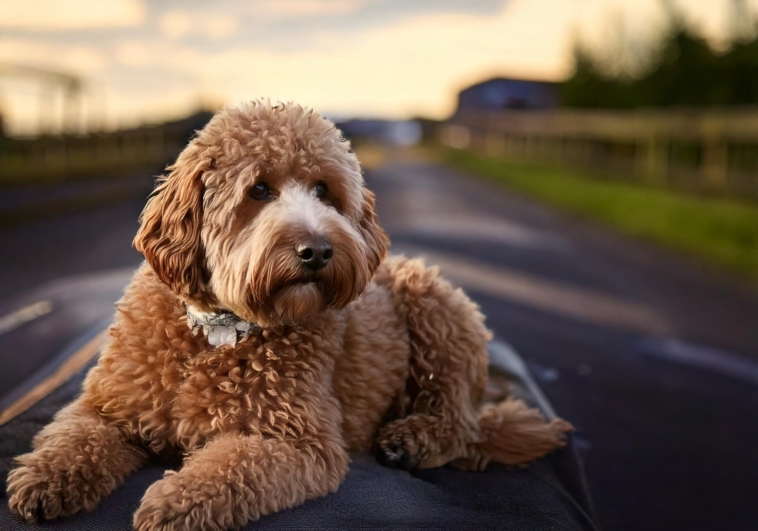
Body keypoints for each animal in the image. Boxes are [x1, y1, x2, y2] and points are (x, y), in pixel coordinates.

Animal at [7, 102, 576, 528]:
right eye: (258, 189)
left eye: (324, 190)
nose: (318, 250)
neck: (221, 329)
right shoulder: (109, 407)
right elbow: (76, 436)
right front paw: (46, 478)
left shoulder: (298, 442)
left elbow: (232, 467)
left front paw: (178, 501)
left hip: (438, 307)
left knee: (459, 422)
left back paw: (411, 440)